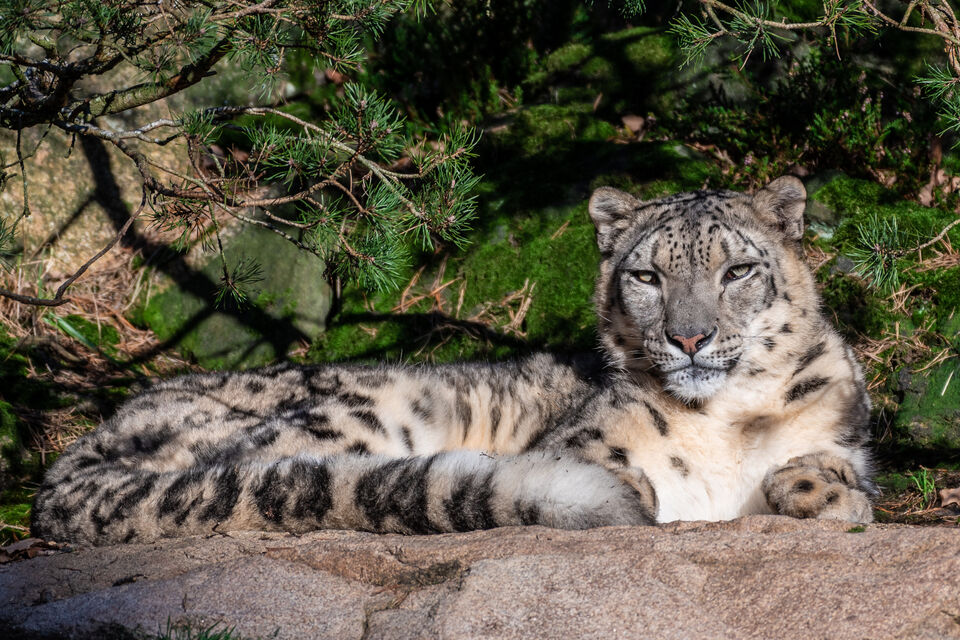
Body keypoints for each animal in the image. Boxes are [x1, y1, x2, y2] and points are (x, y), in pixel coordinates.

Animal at [31, 176, 876, 546]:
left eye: (737, 270)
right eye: (646, 276)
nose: (690, 337)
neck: (726, 422)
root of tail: (79, 451)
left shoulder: (842, 438)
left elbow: (843, 482)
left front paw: (808, 487)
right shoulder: (584, 442)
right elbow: (609, 465)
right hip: (353, 414)